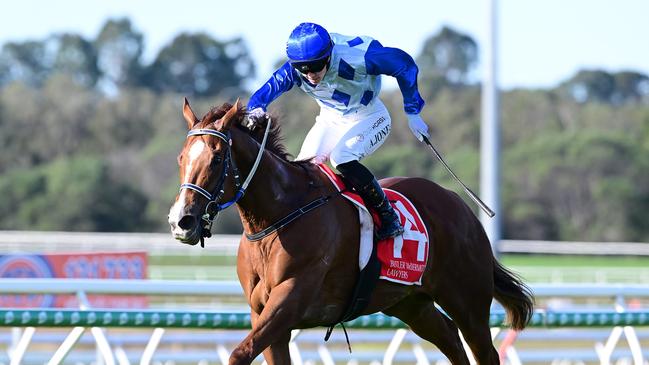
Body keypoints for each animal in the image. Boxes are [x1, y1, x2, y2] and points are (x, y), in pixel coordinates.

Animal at [170, 99, 536, 364]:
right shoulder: (263, 314)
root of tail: (461, 206)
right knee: (451, 341)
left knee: (484, 351)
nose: (181, 220)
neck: (277, 217)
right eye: (181, 158)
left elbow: (239, 354)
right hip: (411, 304)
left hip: (468, 301)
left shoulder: (290, 301)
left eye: (217, 160)